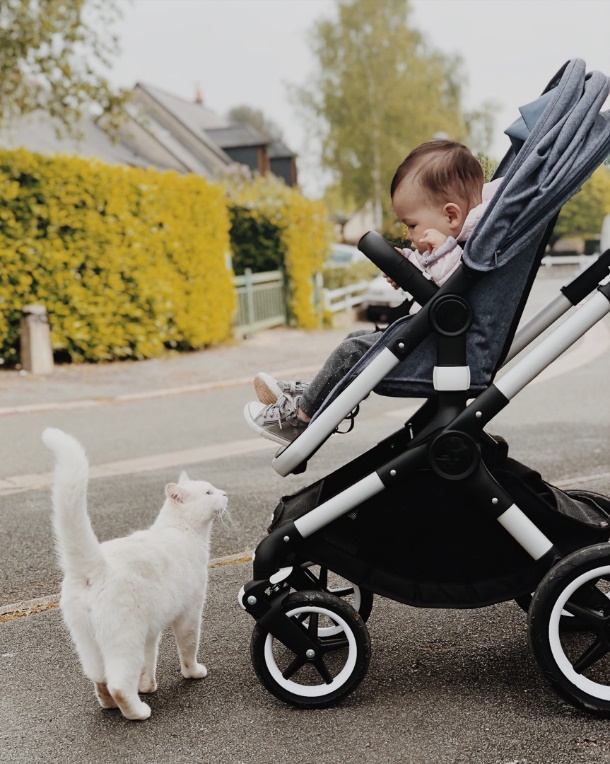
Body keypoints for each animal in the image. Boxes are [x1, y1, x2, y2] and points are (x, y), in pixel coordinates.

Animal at [42, 430, 228, 724]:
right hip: (124, 640)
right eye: (209, 492)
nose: (225, 493)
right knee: (118, 684)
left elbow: (148, 661)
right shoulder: (190, 611)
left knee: (100, 680)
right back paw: (137, 712)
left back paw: (110, 704)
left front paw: (147, 686)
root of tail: (96, 566)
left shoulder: (150, 633)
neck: (182, 530)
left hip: (89, 643)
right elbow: (188, 647)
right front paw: (193, 672)